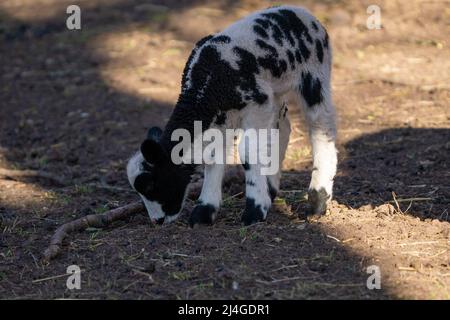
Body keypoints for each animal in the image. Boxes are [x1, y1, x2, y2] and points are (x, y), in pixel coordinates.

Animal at [126, 4, 338, 225]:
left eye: (151, 185)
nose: (157, 221)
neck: (206, 85)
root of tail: (301, 11)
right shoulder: (223, 116)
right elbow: (213, 156)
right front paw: (205, 211)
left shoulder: (257, 104)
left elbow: (247, 153)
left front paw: (254, 210)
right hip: (276, 92)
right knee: (283, 127)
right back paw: (271, 188)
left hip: (315, 76)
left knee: (322, 129)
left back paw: (317, 201)